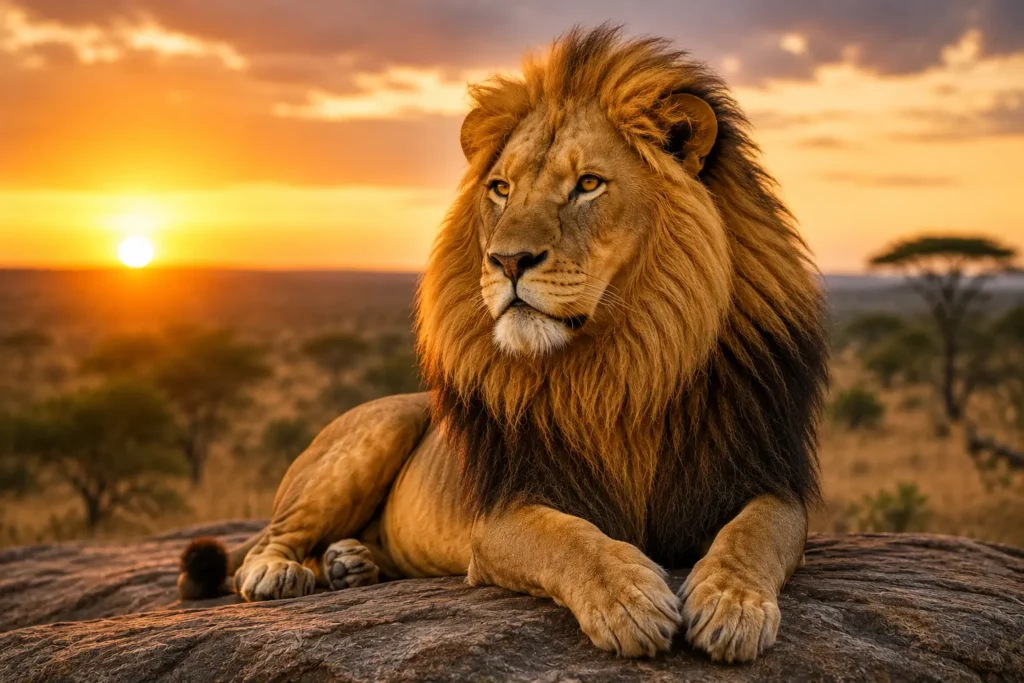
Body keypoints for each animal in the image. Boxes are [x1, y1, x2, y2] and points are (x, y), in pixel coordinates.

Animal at [178, 26, 828, 663]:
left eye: (588, 185)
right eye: (501, 189)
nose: (507, 260)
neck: (625, 366)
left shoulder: (765, 478)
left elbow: (754, 534)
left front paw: (733, 606)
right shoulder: (500, 513)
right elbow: (570, 539)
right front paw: (628, 600)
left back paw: (351, 563)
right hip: (376, 431)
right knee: (268, 538)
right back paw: (280, 572)